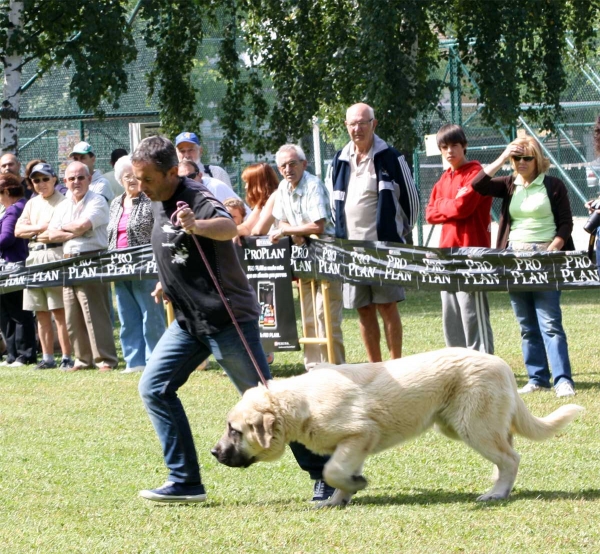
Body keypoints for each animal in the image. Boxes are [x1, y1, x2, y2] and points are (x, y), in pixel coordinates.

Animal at [211, 348, 580, 506]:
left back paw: (496, 494)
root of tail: (500, 363)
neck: (298, 404)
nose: (214, 452)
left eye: (234, 430)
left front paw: (354, 485)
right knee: (508, 453)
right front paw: (340, 498)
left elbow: (332, 471)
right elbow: (338, 474)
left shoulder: (360, 433)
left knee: (511, 459)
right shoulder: (352, 445)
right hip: (465, 425)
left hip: (472, 427)